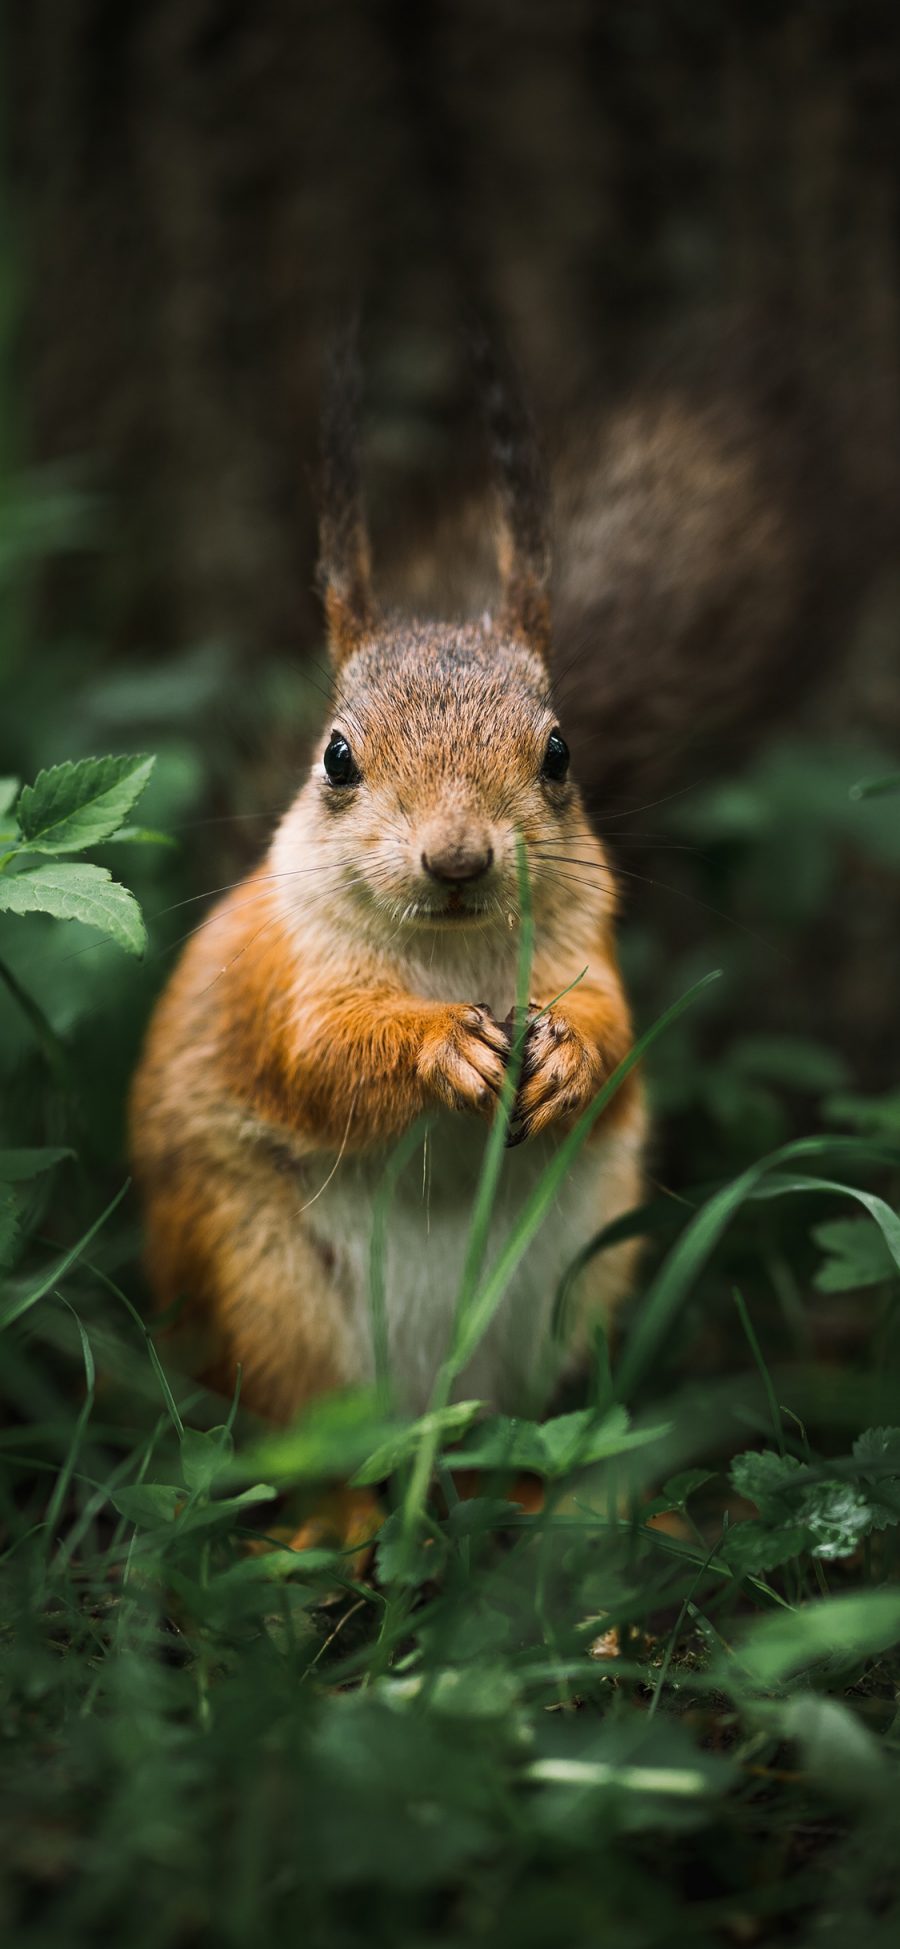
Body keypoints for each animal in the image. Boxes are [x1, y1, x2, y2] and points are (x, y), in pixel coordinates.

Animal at [128, 335, 646, 1426]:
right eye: (336, 757)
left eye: (559, 752)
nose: (456, 858)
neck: (450, 953)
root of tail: (431, 1399)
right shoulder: (280, 977)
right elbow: (320, 1056)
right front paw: (440, 1046)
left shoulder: (588, 941)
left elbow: (617, 1025)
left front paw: (569, 1054)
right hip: (255, 1276)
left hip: (576, 1280)